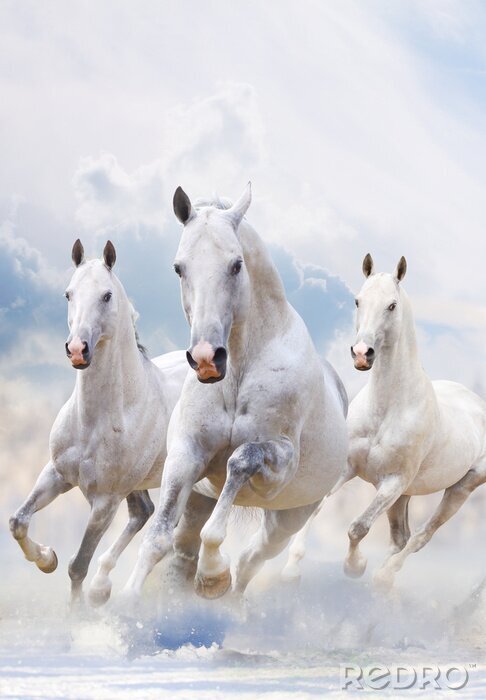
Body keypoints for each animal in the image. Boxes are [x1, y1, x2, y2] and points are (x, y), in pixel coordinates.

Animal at [9, 240, 189, 606]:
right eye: (68, 294)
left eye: (106, 295)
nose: (78, 350)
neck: (96, 420)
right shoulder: (57, 474)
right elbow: (18, 521)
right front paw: (46, 559)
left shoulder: (105, 500)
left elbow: (78, 564)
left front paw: (77, 608)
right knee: (143, 511)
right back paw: (102, 587)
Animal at [123, 184, 349, 601]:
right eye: (179, 267)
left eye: (236, 265)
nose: (206, 359)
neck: (241, 372)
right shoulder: (186, 454)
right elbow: (158, 536)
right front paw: (124, 601)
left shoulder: (279, 463)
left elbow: (240, 463)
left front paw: (212, 575)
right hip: (198, 500)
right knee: (185, 551)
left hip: (289, 519)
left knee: (250, 561)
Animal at [344, 253, 486, 591]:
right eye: (358, 300)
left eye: (392, 305)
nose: (361, 354)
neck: (385, 409)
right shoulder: (348, 467)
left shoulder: (392, 482)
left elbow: (358, 527)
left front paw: (355, 566)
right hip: (405, 494)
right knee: (401, 537)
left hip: (460, 488)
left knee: (421, 536)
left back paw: (383, 575)